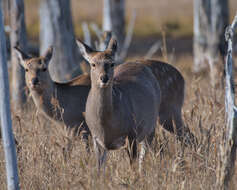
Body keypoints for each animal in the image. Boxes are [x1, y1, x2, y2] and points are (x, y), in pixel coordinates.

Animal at [77, 37, 162, 173]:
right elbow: (99, 168)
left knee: (143, 156)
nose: (104, 78)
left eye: (112, 63)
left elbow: (132, 164)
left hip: (150, 127)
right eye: (93, 64)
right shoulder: (96, 138)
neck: (106, 125)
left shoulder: (131, 132)